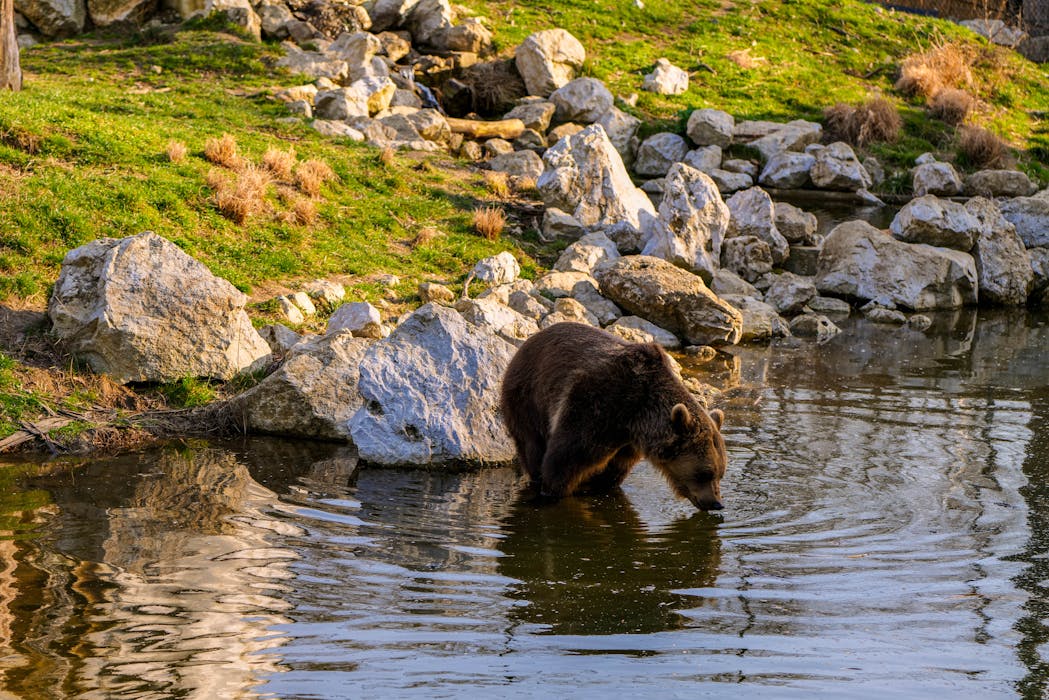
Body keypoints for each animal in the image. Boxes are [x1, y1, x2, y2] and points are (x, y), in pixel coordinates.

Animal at [500, 322, 728, 510]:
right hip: (528, 397)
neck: (637, 416)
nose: (716, 503)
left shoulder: (628, 441)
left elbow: (614, 469)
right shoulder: (596, 404)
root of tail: (528, 342)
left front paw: (596, 485)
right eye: (705, 473)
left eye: (721, 473)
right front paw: (553, 490)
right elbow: (565, 457)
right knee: (532, 443)